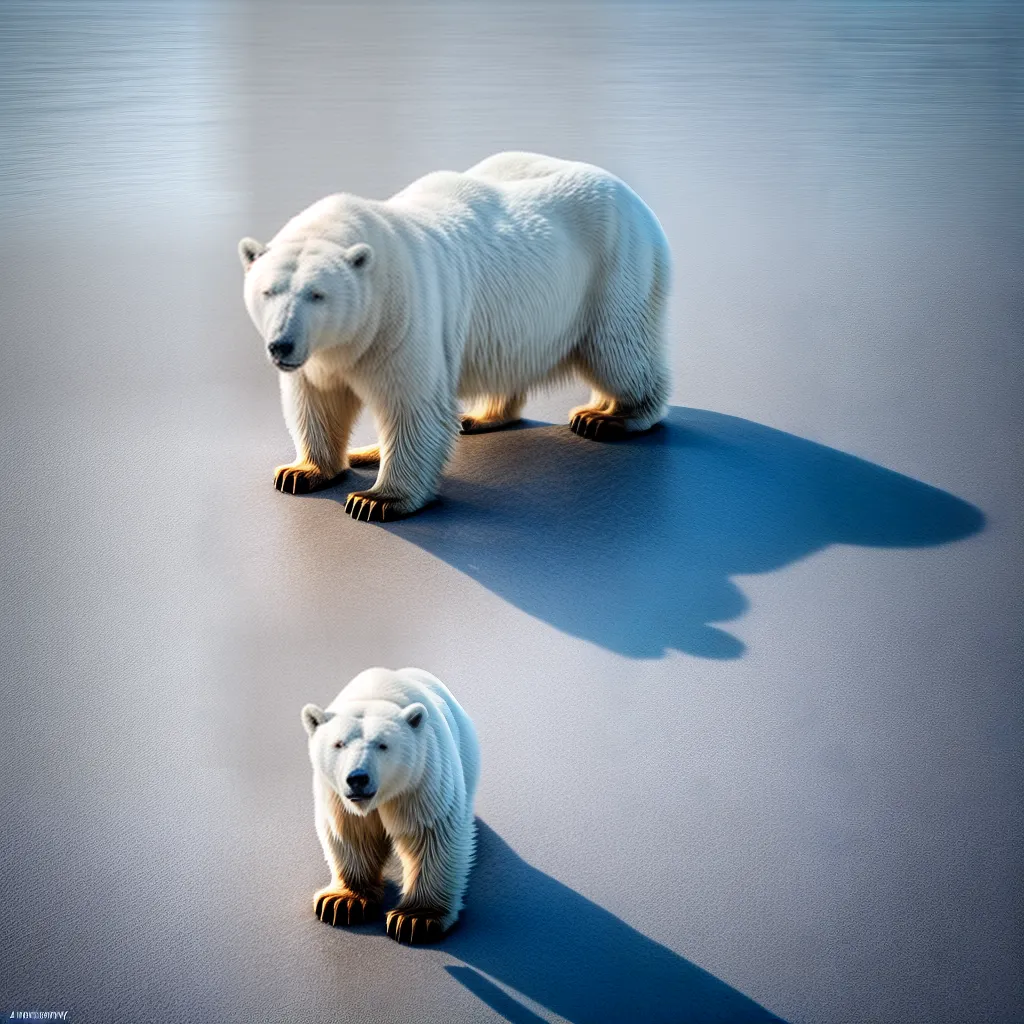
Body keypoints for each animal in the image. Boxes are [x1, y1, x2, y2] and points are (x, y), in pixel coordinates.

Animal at [239, 151, 672, 521]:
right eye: (268, 291)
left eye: (317, 294)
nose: (282, 345)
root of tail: (635, 200)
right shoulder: (321, 356)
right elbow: (316, 400)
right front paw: (300, 472)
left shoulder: (402, 317)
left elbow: (413, 406)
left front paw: (375, 500)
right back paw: (470, 419)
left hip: (614, 269)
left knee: (620, 351)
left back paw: (605, 416)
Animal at [301, 667, 480, 944]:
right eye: (338, 744)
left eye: (383, 745)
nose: (357, 779)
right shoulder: (336, 795)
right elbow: (352, 832)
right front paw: (341, 902)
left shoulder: (420, 779)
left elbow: (431, 834)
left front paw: (415, 919)